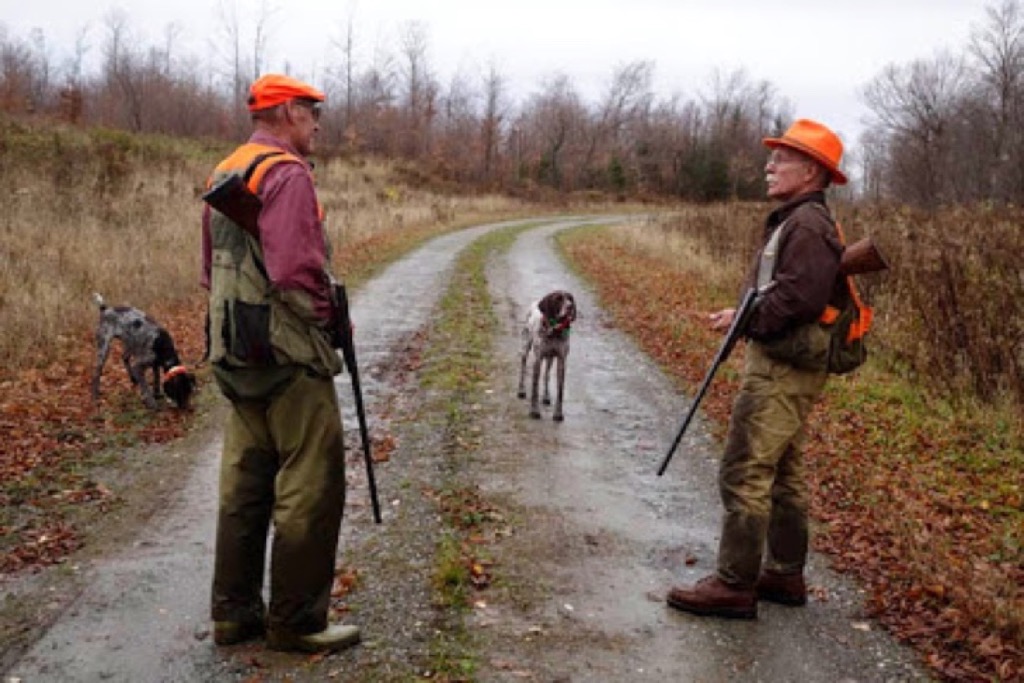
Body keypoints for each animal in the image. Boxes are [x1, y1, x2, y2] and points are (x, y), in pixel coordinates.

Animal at [516, 290, 581, 419]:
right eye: (558, 299)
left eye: (570, 298)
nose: (570, 306)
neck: (554, 331)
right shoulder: (538, 359)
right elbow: (535, 389)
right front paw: (534, 411)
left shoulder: (562, 361)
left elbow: (560, 391)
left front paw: (558, 413)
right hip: (525, 346)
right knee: (523, 366)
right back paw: (521, 390)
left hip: (550, 358)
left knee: (547, 374)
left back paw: (546, 396)